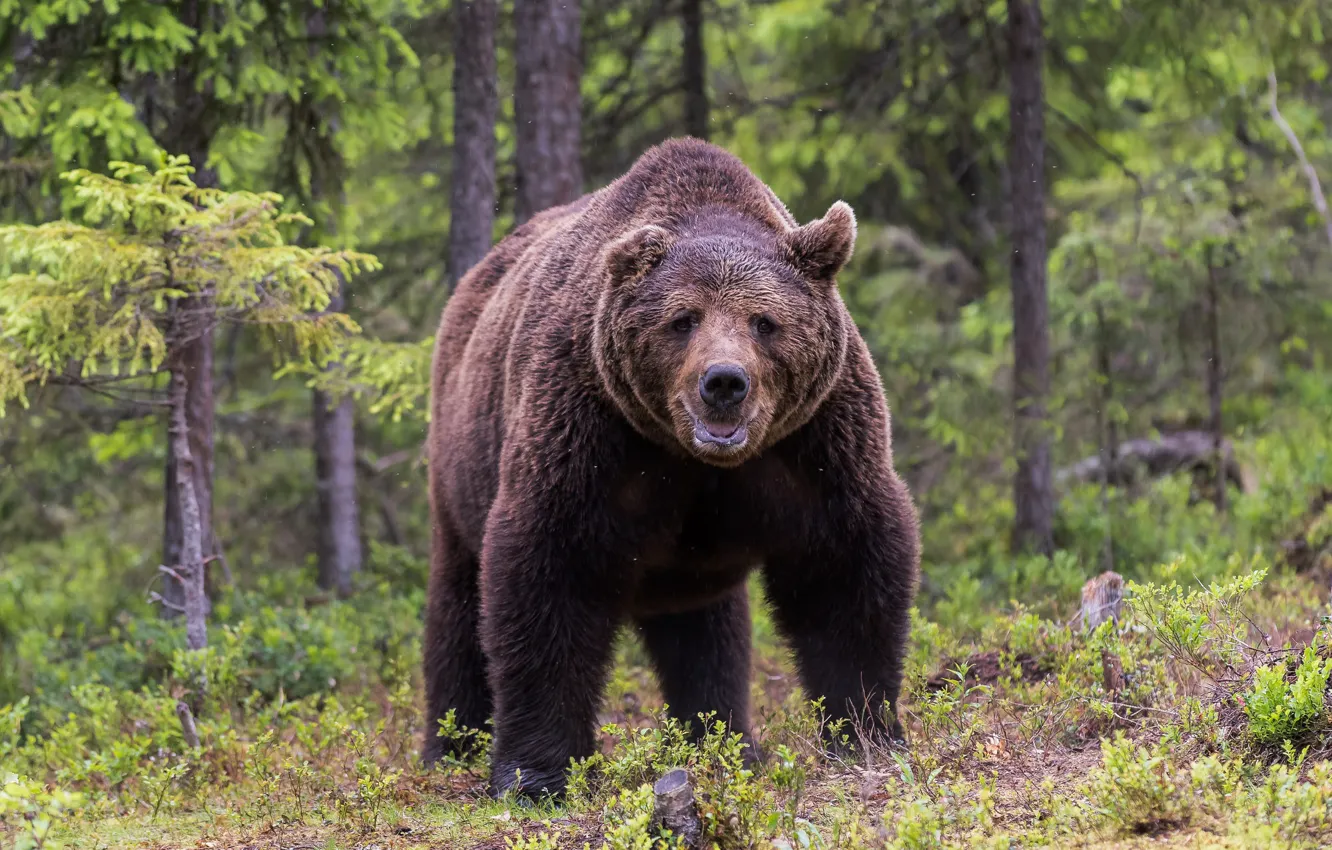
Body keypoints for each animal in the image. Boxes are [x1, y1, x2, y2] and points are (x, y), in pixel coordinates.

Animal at [422, 137, 920, 798]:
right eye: (683, 319)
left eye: (765, 322)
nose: (724, 383)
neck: (692, 454)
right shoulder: (590, 426)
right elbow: (549, 574)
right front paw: (538, 774)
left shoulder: (815, 441)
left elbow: (843, 571)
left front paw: (866, 734)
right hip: (461, 461)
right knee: (458, 605)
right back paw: (451, 745)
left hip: (691, 567)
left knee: (708, 634)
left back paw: (725, 742)